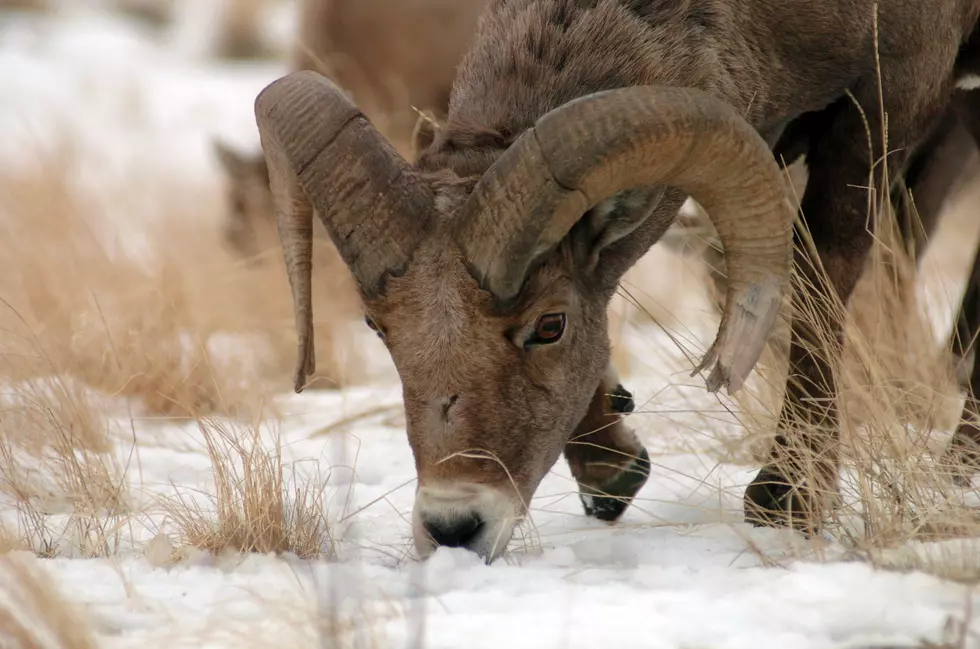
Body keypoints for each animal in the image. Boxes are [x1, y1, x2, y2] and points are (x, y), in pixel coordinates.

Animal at [255, 0, 980, 560]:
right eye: (379, 327)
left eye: (550, 325)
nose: (453, 527)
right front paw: (613, 469)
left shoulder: (886, 100)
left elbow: (822, 278)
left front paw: (787, 502)